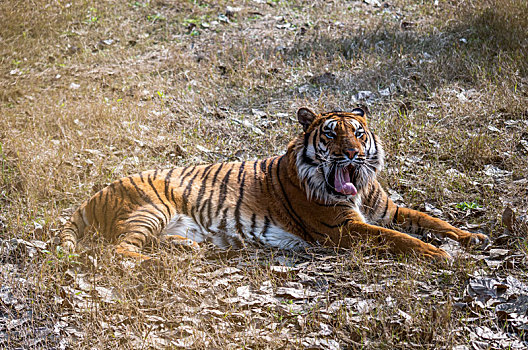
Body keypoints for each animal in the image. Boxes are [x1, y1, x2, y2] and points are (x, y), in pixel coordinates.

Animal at [58, 108, 490, 262]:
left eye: (358, 134)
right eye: (331, 135)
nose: (352, 154)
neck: (359, 185)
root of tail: (97, 192)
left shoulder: (389, 209)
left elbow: (431, 220)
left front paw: (472, 238)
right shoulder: (345, 229)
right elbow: (399, 238)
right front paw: (440, 255)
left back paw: (189, 251)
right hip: (150, 210)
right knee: (120, 251)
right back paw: (162, 263)